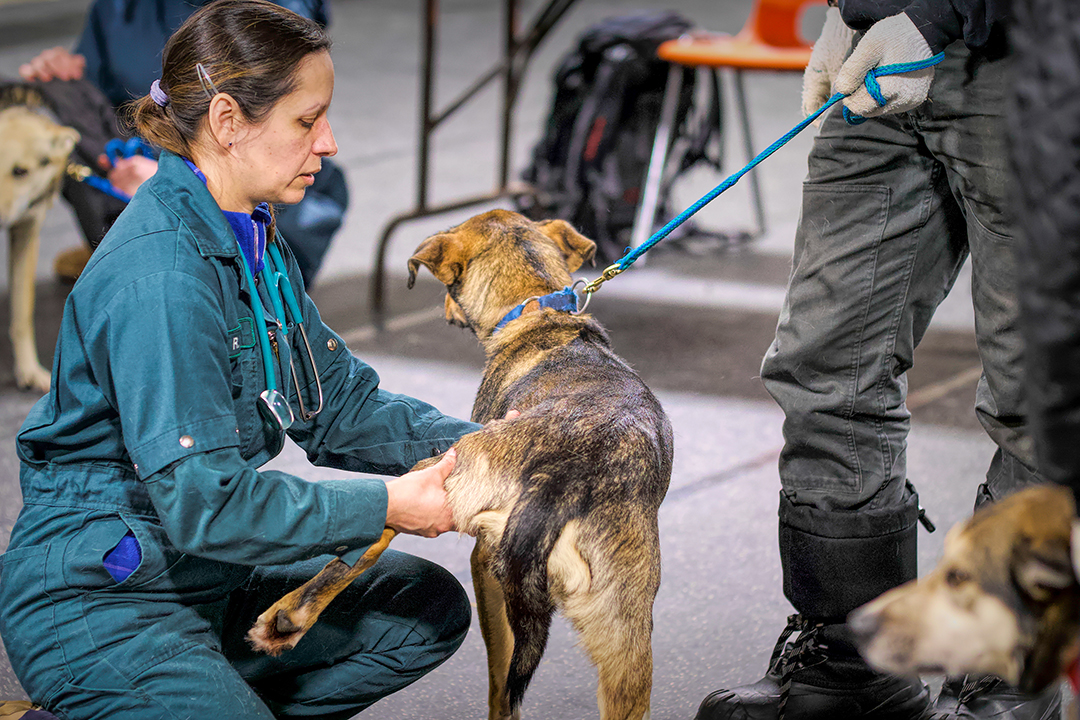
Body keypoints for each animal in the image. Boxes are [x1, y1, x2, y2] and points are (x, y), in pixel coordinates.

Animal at [250, 209, 673, 720]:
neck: (539, 308)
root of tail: (564, 478)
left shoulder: (481, 559)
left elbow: (497, 677)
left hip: (445, 486)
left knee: (370, 540)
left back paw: (289, 615)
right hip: (626, 638)